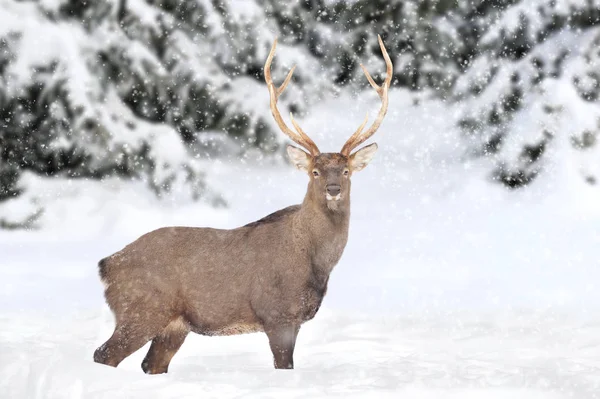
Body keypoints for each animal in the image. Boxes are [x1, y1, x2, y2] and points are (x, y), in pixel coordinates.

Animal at [92, 36, 394, 374]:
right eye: (315, 171)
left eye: (345, 171)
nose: (333, 189)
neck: (314, 260)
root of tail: (107, 265)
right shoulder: (277, 313)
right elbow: (284, 366)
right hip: (141, 309)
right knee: (103, 355)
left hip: (174, 324)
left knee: (150, 364)